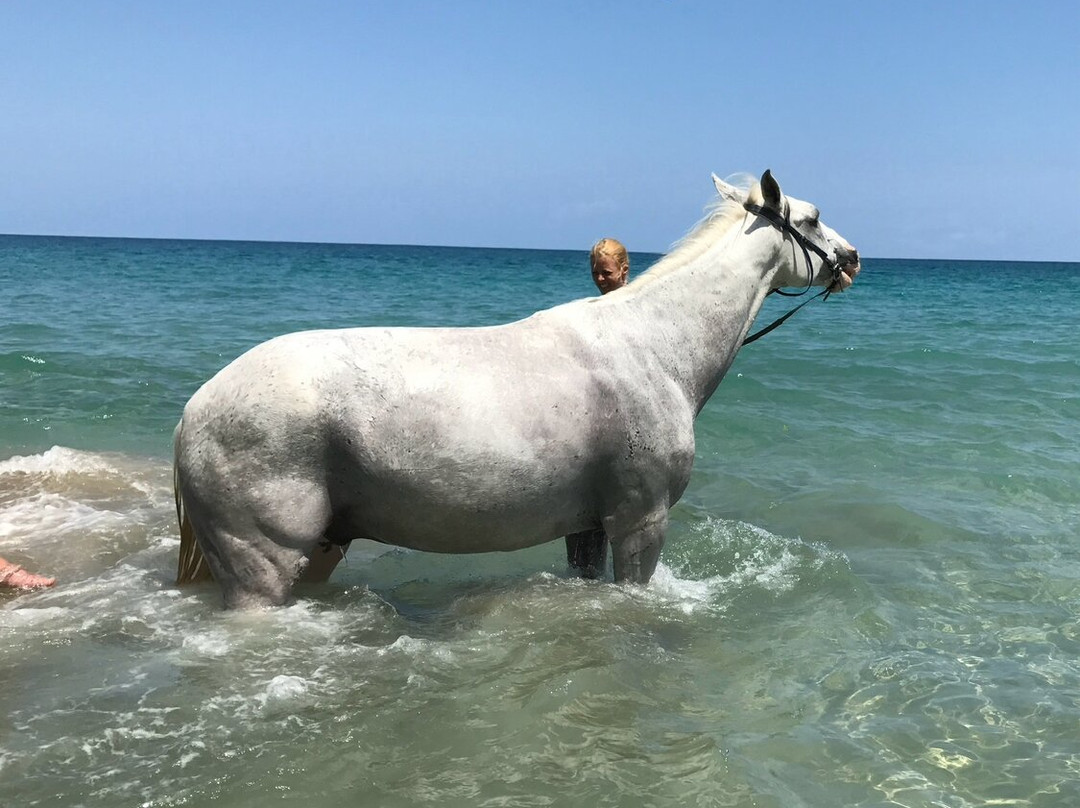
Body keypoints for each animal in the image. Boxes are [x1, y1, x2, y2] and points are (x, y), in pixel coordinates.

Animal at [174, 170, 861, 608]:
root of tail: (193, 411)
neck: (655, 348)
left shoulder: (588, 526)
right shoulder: (640, 521)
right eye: (813, 218)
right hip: (263, 565)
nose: (853, 257)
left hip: (322, 547)